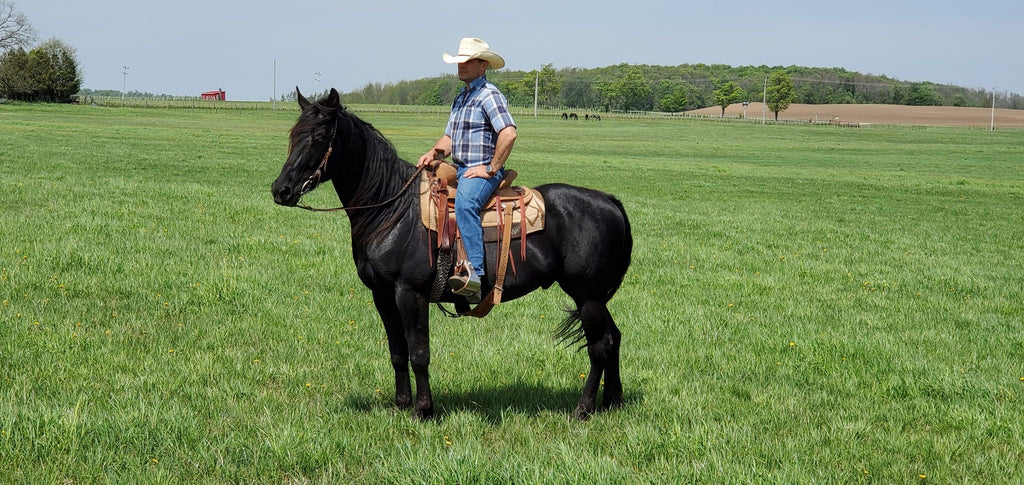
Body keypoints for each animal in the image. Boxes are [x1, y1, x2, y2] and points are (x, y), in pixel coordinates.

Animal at [272, 87, 630, 421]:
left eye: (319, 138)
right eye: (293, 135)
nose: (281, 190)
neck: (392, 210)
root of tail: (610, 201)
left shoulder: (410, 293)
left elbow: (419, 353)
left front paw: (423, 410)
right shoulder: (382, 295)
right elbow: (397, 352)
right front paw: (401, 404)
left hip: (588, 296)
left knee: (599, 347)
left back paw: (583, 408)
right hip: (595, 298)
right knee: (613, 338)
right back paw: (612, 402)